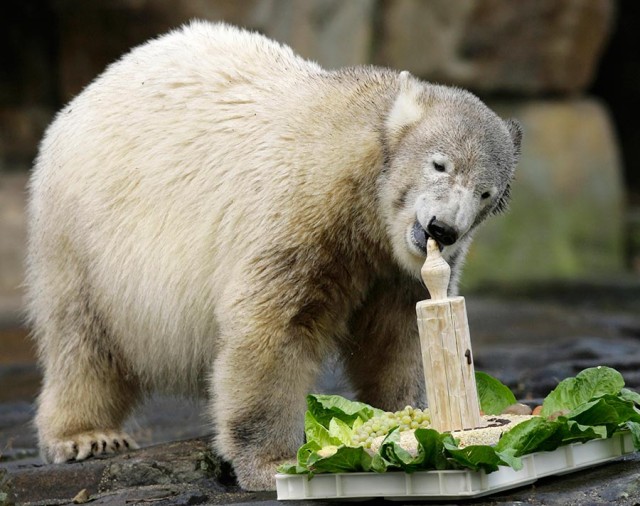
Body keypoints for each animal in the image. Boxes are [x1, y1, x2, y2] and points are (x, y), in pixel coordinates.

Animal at [27, 20, 524, 490]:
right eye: (439, 164)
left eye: (485, 192)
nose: (443, 228)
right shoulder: (302, 209)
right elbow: (275, 327)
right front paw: (271, 463)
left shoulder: (394, 267)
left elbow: (396, 335)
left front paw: (405, 418)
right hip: (83, 233)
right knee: (82, 337)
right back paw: (86, 435)